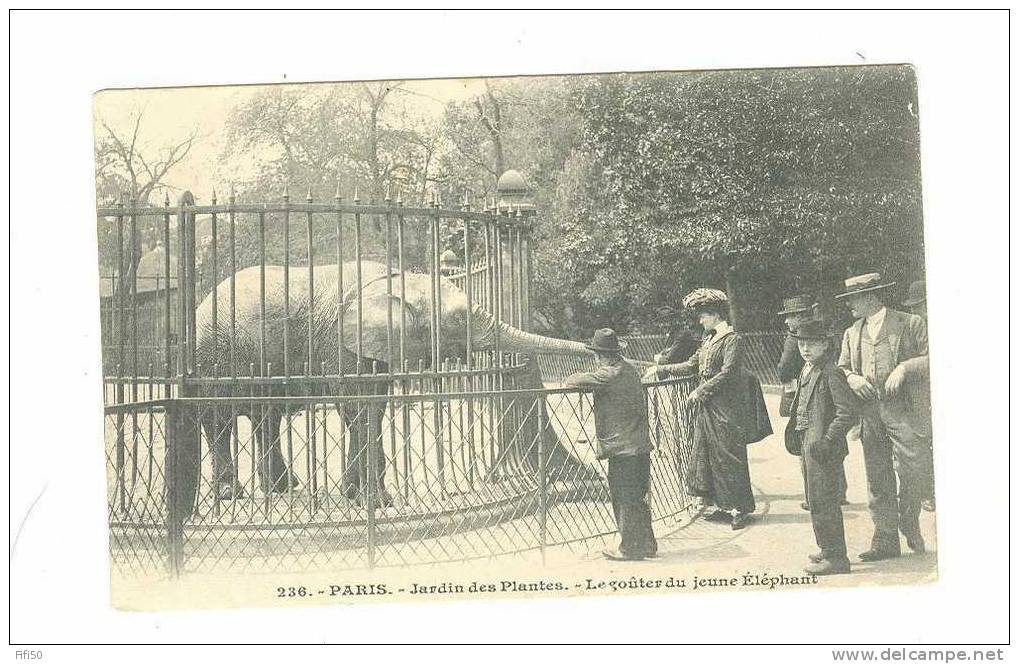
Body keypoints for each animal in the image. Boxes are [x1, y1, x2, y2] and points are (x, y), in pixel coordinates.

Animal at [179, 260, 595, 513]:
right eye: (459, 320)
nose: (598, 345)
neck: (395, 280)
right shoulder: (338, 342)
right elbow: (358, 407)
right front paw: (377, 503)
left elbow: (373, 405)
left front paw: (356, 495)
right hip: (213, 354)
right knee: (219, 419)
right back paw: (232, 494)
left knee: (268, 416)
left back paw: (284, 488)